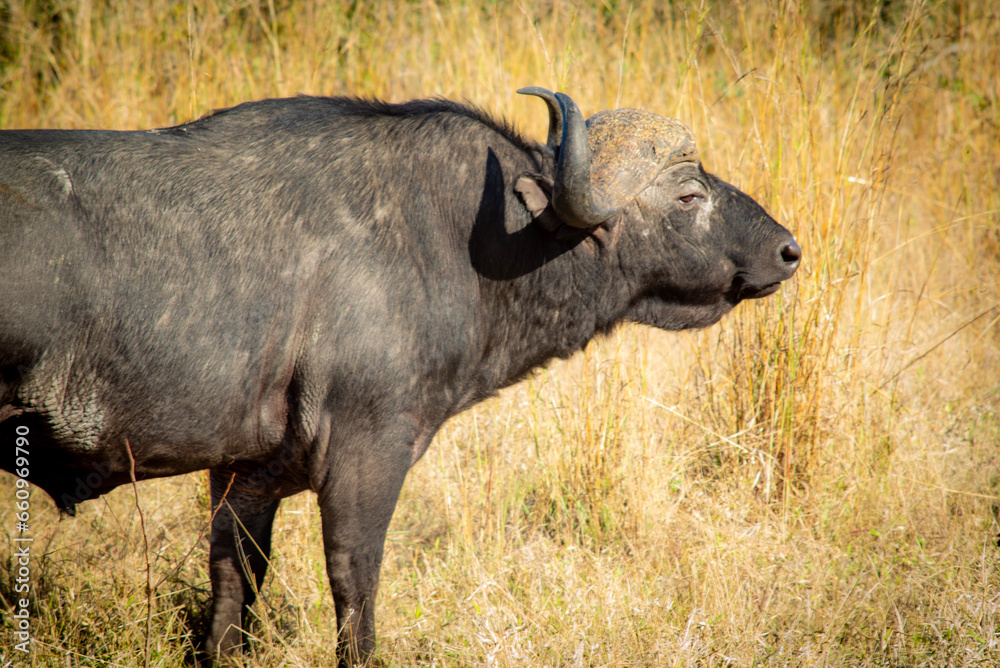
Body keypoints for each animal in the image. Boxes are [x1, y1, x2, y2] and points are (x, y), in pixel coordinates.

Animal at [0, 87, 800, 665]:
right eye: (689, 195)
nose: (789, 250)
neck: (463, 239)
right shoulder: (367, 453)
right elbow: (356, 581)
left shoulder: (243, 474)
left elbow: (234, 584)